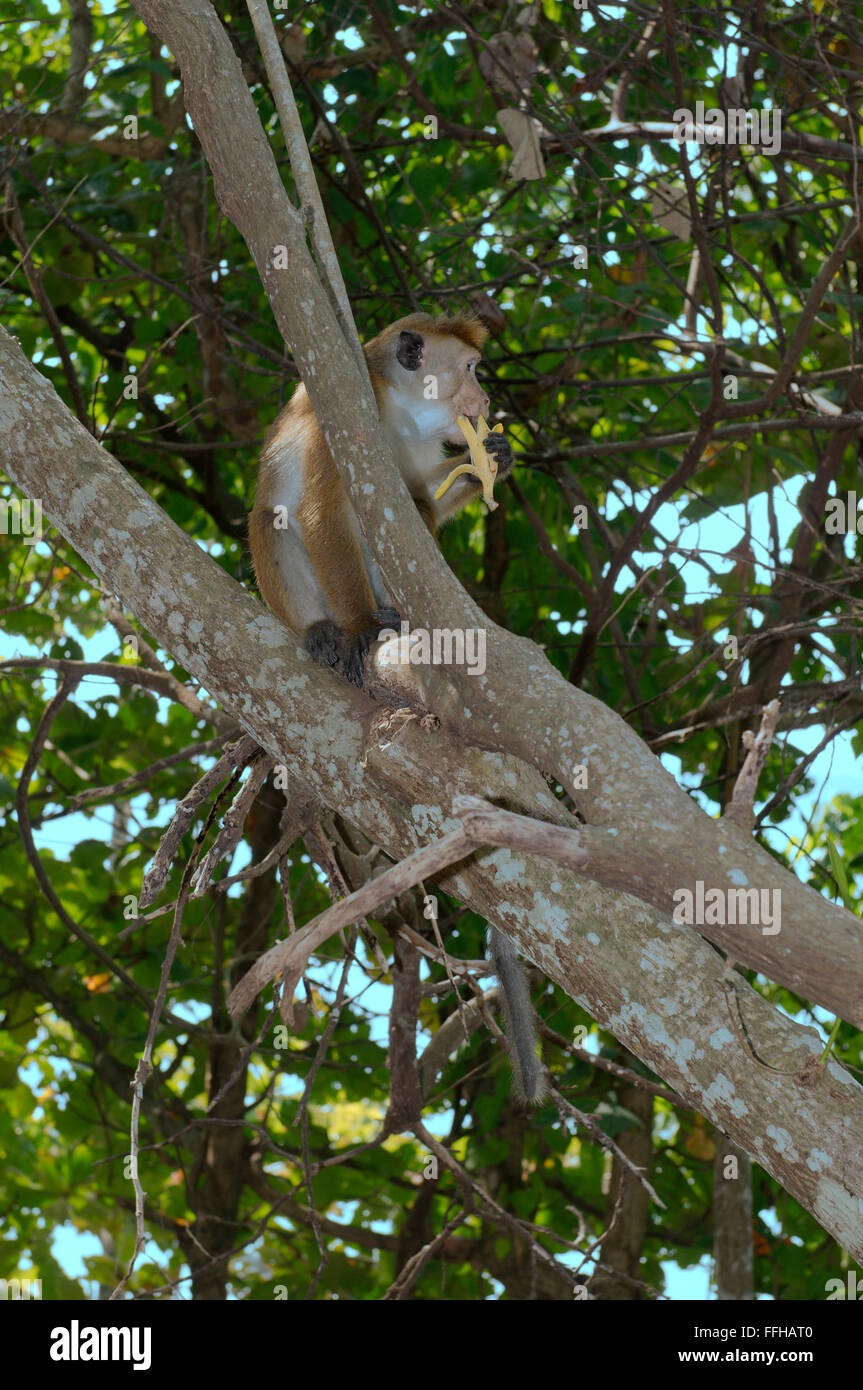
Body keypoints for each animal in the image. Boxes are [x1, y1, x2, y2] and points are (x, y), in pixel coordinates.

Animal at [247, 312, 515, 686]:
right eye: (470, 367)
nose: (487, 399)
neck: (400, 404)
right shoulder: (340, 412)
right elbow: (322, 513)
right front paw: (361, 627)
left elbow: (422, 496)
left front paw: (495, 459)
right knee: (270, 520)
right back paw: (318, 629)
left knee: (412, 511)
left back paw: (398, 619)